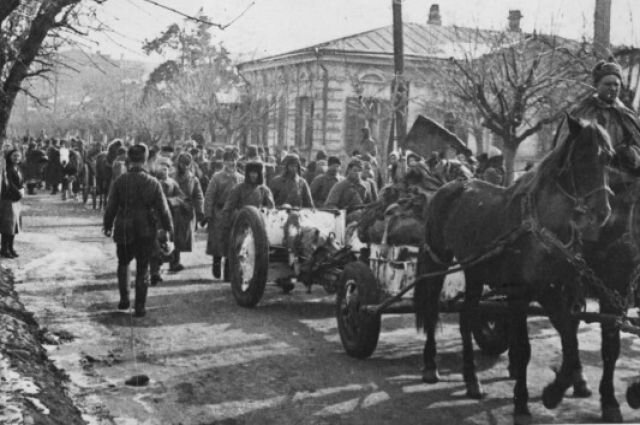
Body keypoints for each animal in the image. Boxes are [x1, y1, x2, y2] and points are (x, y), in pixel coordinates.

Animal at [416, 115, 616, 420]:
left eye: (608, 158)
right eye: (582, 156)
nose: (602, 212)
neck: (542, 227)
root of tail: (449, 187)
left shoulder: (551, 290)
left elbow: (570, 339)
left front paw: (554, 392)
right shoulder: (519, 294)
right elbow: (523, 349)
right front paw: (521, 402)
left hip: (475, 271)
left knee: (466, 318)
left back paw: (471, 379)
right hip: (438, 260)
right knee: (430, 309)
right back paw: (430, 365)